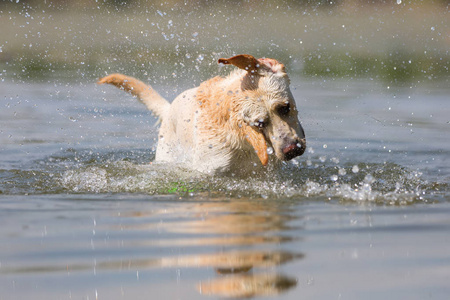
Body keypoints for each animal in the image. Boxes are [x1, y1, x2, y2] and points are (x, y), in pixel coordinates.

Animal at [98, 55, 306, 175]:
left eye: (284, 107)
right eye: (260, 123)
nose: (291, 149)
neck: (242, 140)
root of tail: (169, 109)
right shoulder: (207, 170)